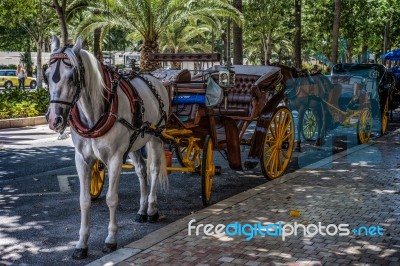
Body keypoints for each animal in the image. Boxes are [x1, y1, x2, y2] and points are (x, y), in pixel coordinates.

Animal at [46, 36, 170, 258]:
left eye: (72, 77)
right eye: (46, 76)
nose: (54, 119)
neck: (94, 113)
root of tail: (155, 78)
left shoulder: (114, 159)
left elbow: (112, 198)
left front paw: (111, 239)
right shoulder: (82, 159)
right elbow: (84, 200)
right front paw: (81, 244)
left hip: (156, 137)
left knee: (154, 169)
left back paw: (152, 209)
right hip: (135, 142)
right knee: (141, 171)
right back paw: (141, 210)